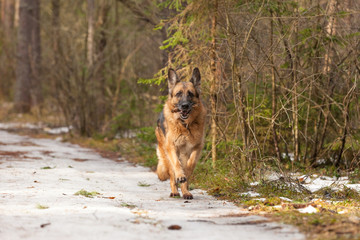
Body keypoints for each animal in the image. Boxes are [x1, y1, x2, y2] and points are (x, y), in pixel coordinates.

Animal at [155, 67, 205, 199]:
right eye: (178, 94)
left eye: (190, 94)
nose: (184, 106)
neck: (185, 126)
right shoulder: (172, 147)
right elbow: (177, 165)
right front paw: (181, 176)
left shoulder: (197, 147)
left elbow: (190, 164)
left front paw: (185, 175)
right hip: (167, 154)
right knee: (172, 174)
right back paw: (175, 191)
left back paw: (186, 192)